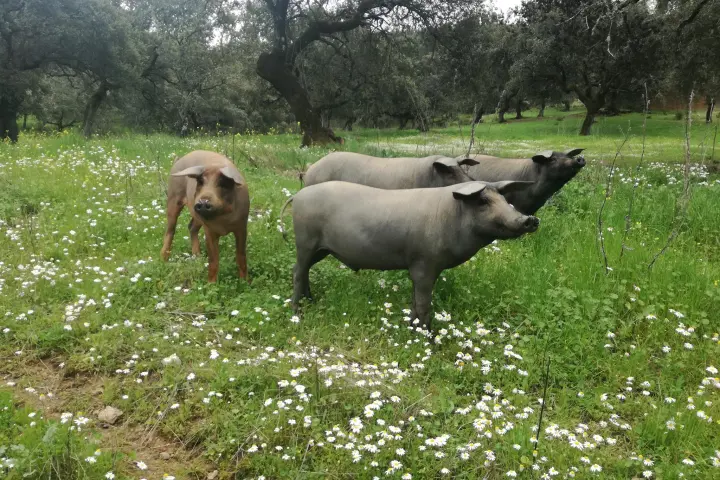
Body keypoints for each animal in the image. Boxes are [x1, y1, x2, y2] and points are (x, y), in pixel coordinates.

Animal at [161, 150, 250, 283]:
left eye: (223, 183)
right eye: (200, 182)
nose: (203, 202)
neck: (223, 220)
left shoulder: (242, 227)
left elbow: (241, 256)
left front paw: (245, 282)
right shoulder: (209, 230)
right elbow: (213, 260)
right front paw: (211, 284)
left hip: (195, 214)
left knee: (191, 226)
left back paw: (197, 257)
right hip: (173, 198)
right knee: (170, 230)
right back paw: (163, 259)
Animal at [281, 180, 539, 329]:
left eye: (504, 199)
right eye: (483, 201)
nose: (529, 219)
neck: (450, 216)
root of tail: (297, 195)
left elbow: (415, 301)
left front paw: (412, 328)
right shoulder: (425, 264)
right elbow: (424, 303)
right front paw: (428, 340)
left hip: (321, 249)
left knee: (303, 271)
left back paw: (310, 302)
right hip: (305, 241)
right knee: (297, 271)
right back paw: (297, 314)